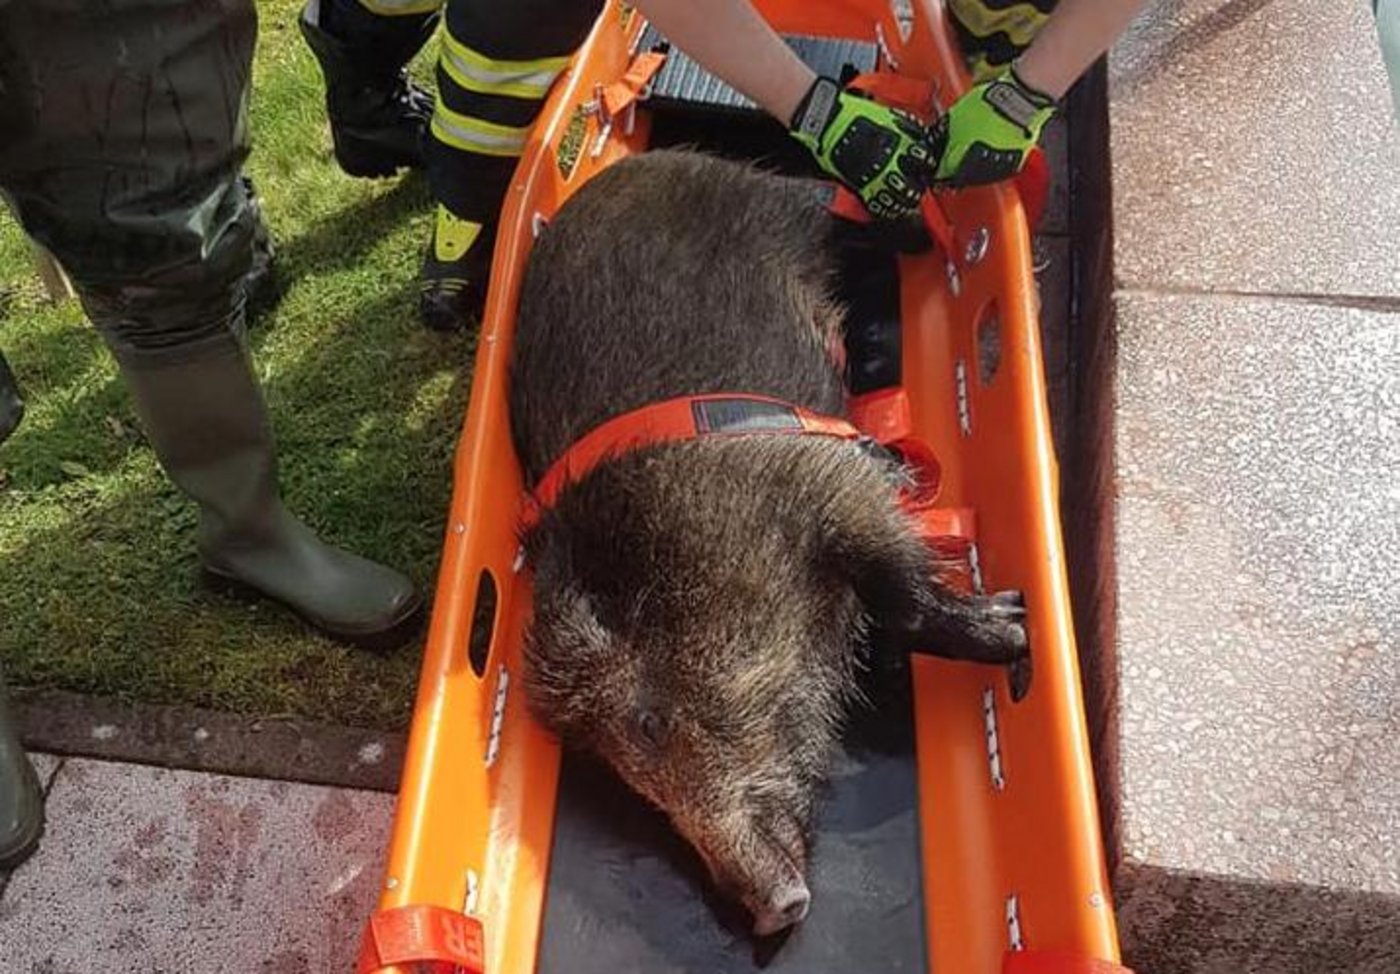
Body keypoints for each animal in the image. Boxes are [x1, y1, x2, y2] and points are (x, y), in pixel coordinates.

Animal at [508, 149, 1026, 938]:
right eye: (619, 777)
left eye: (648, 720)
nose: (770, 912)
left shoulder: (825, 482)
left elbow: (902, 589)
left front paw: (1014, 625)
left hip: (790, 209)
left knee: (846, 210)